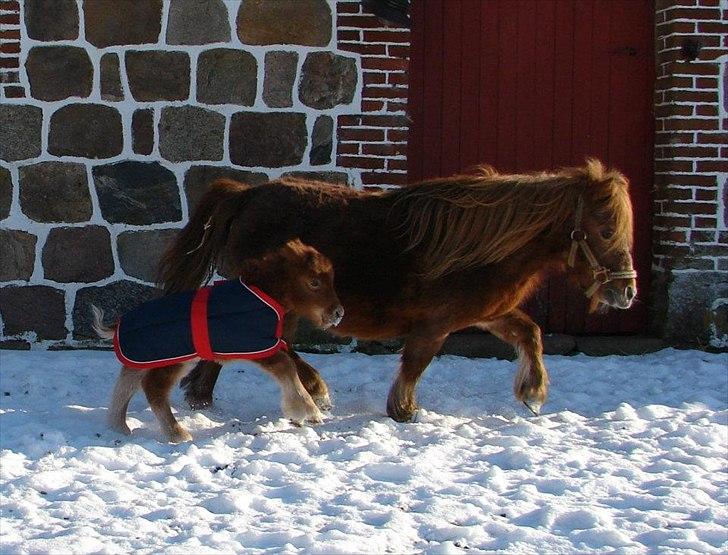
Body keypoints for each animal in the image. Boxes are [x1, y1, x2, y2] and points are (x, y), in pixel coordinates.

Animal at [94, 240, 344, 444]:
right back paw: (178, 434)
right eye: (314, 282)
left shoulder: (269, 343)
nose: (338, 313)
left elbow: (292, 363)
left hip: (143, 359)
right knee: (153, 388)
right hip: (173, 360)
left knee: (126, 384)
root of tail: (120, 325)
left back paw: (119, 428)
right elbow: (287, 366)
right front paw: (308, 411)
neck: (262, 292)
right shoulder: (256, 346)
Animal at [159, 160, 636, 422]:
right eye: (605, 228)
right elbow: (416, 363)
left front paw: (533, 394)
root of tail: (246, 195)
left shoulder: (487, 313)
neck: (481, 245)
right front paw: (403, 411)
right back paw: (313, 389)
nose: (627, 292)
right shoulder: (436, 324)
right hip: (286, 304)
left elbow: (530, 334)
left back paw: (202, 398)